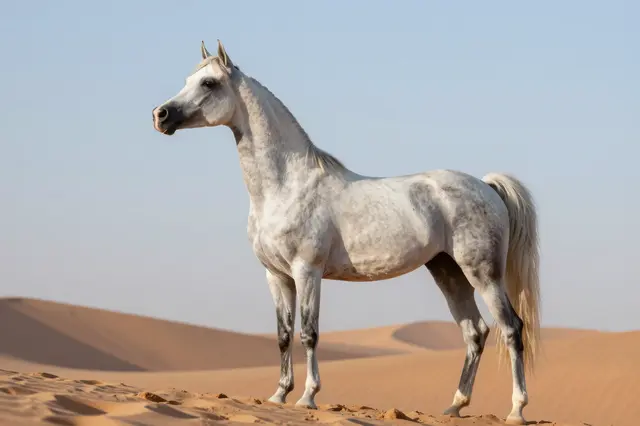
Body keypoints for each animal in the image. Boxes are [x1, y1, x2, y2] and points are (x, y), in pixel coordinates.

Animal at [151, 40, 541, 425]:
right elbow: (283, 335)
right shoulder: (276, 276)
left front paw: (307, 396)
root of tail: (486, 186)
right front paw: (278, 394)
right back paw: (455, 405)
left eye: (209, 83)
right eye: (188, 79)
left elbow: (309, 333)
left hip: (483, 274)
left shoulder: (307, 271)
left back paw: (516, 409)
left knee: (511, 329)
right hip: (448, 272)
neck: (285, 186)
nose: (161, 115)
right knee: (475, 333)